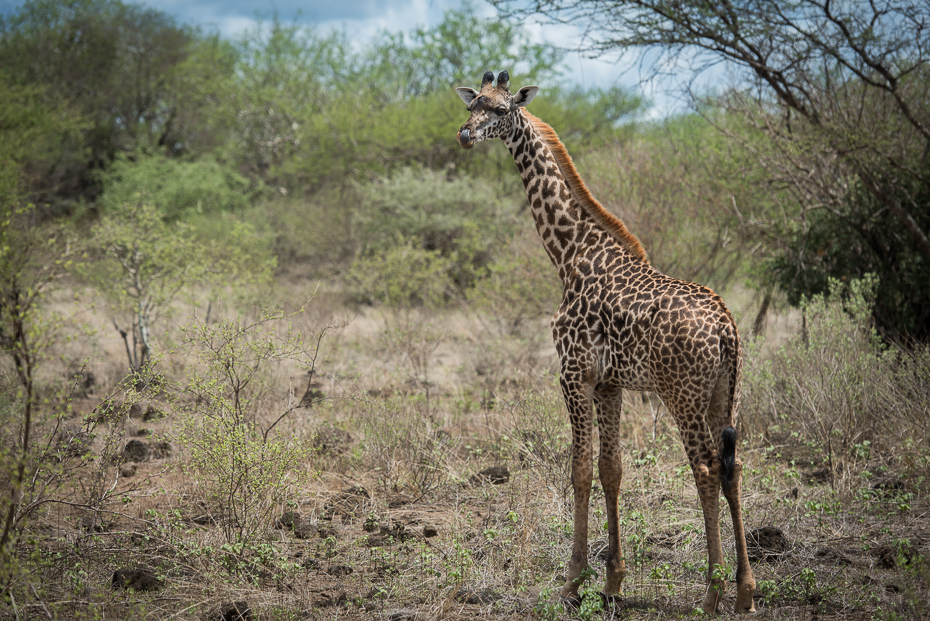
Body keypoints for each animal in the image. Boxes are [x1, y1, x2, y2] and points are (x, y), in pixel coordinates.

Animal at [454, 70, 752, 612]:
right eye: (473, 104)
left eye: (502, 109)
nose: (466, 135)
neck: (570, 253)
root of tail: (726, 327)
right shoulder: (610, 383)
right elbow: (611, 469)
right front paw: (614, 581)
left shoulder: (573, 373)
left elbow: (578, 469)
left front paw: (572, 580)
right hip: (725, 392)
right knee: (731, 467)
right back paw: (746, 591)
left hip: (682, 395)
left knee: (703, 469)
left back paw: (711, 594)